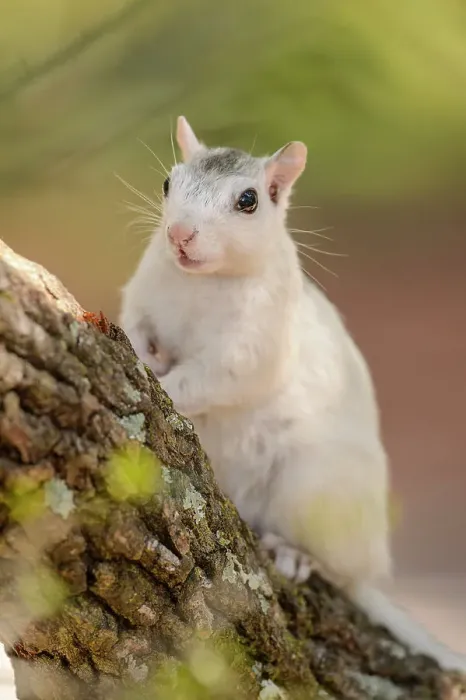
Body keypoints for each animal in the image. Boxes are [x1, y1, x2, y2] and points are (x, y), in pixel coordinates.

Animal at [119, 116, 466, 673]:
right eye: (169, 183)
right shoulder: (143, 294)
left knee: (339, 573)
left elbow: (218, 377)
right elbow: (133, 323)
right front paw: (141, 351)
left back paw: (296, 555)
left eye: (249, 201)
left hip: (313, 491)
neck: (202, 283)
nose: (179, 235)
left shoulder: (255, 340)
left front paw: (167, 387)